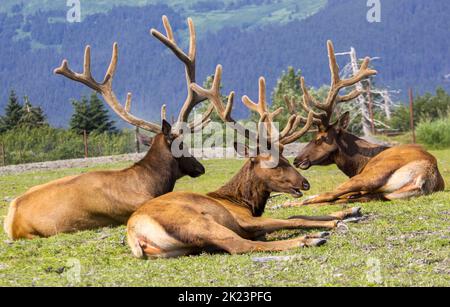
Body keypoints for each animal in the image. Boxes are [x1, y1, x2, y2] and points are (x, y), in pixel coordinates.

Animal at [125, 65, 362, 260]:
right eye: (275, 163)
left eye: (286, 158)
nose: (305, 183)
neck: (244, 202)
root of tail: (135, 235)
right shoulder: (245, 220)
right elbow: (293, 218)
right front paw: (333, 222)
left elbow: (297, 213)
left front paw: (350, 211)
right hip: (200, 222)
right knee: (239, 245)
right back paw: (310, 239)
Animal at [286, 39, 444, 206]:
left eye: (319, 139)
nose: (296, 160)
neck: (357, 164)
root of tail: (424, 176)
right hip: (381, 193)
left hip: (371, 174)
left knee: (329, 195)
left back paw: (289, 203)